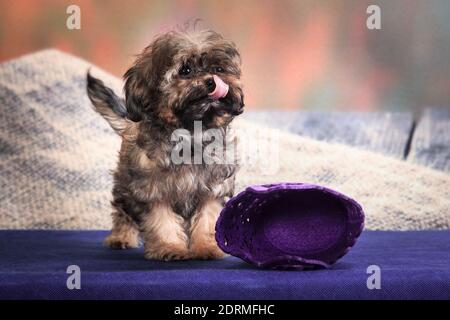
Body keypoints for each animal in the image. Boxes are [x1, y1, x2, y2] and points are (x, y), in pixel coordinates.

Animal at [86, 28, 244, 260]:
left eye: (218, 69)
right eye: (185, 70)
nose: (212, 81)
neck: (191, 133)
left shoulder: (212, 187)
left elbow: (207, 218)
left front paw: (205, 247)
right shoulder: (153, 188)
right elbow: (162, 221)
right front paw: (170, 247)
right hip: (126, 185)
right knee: (123, 210)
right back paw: (121, 236)